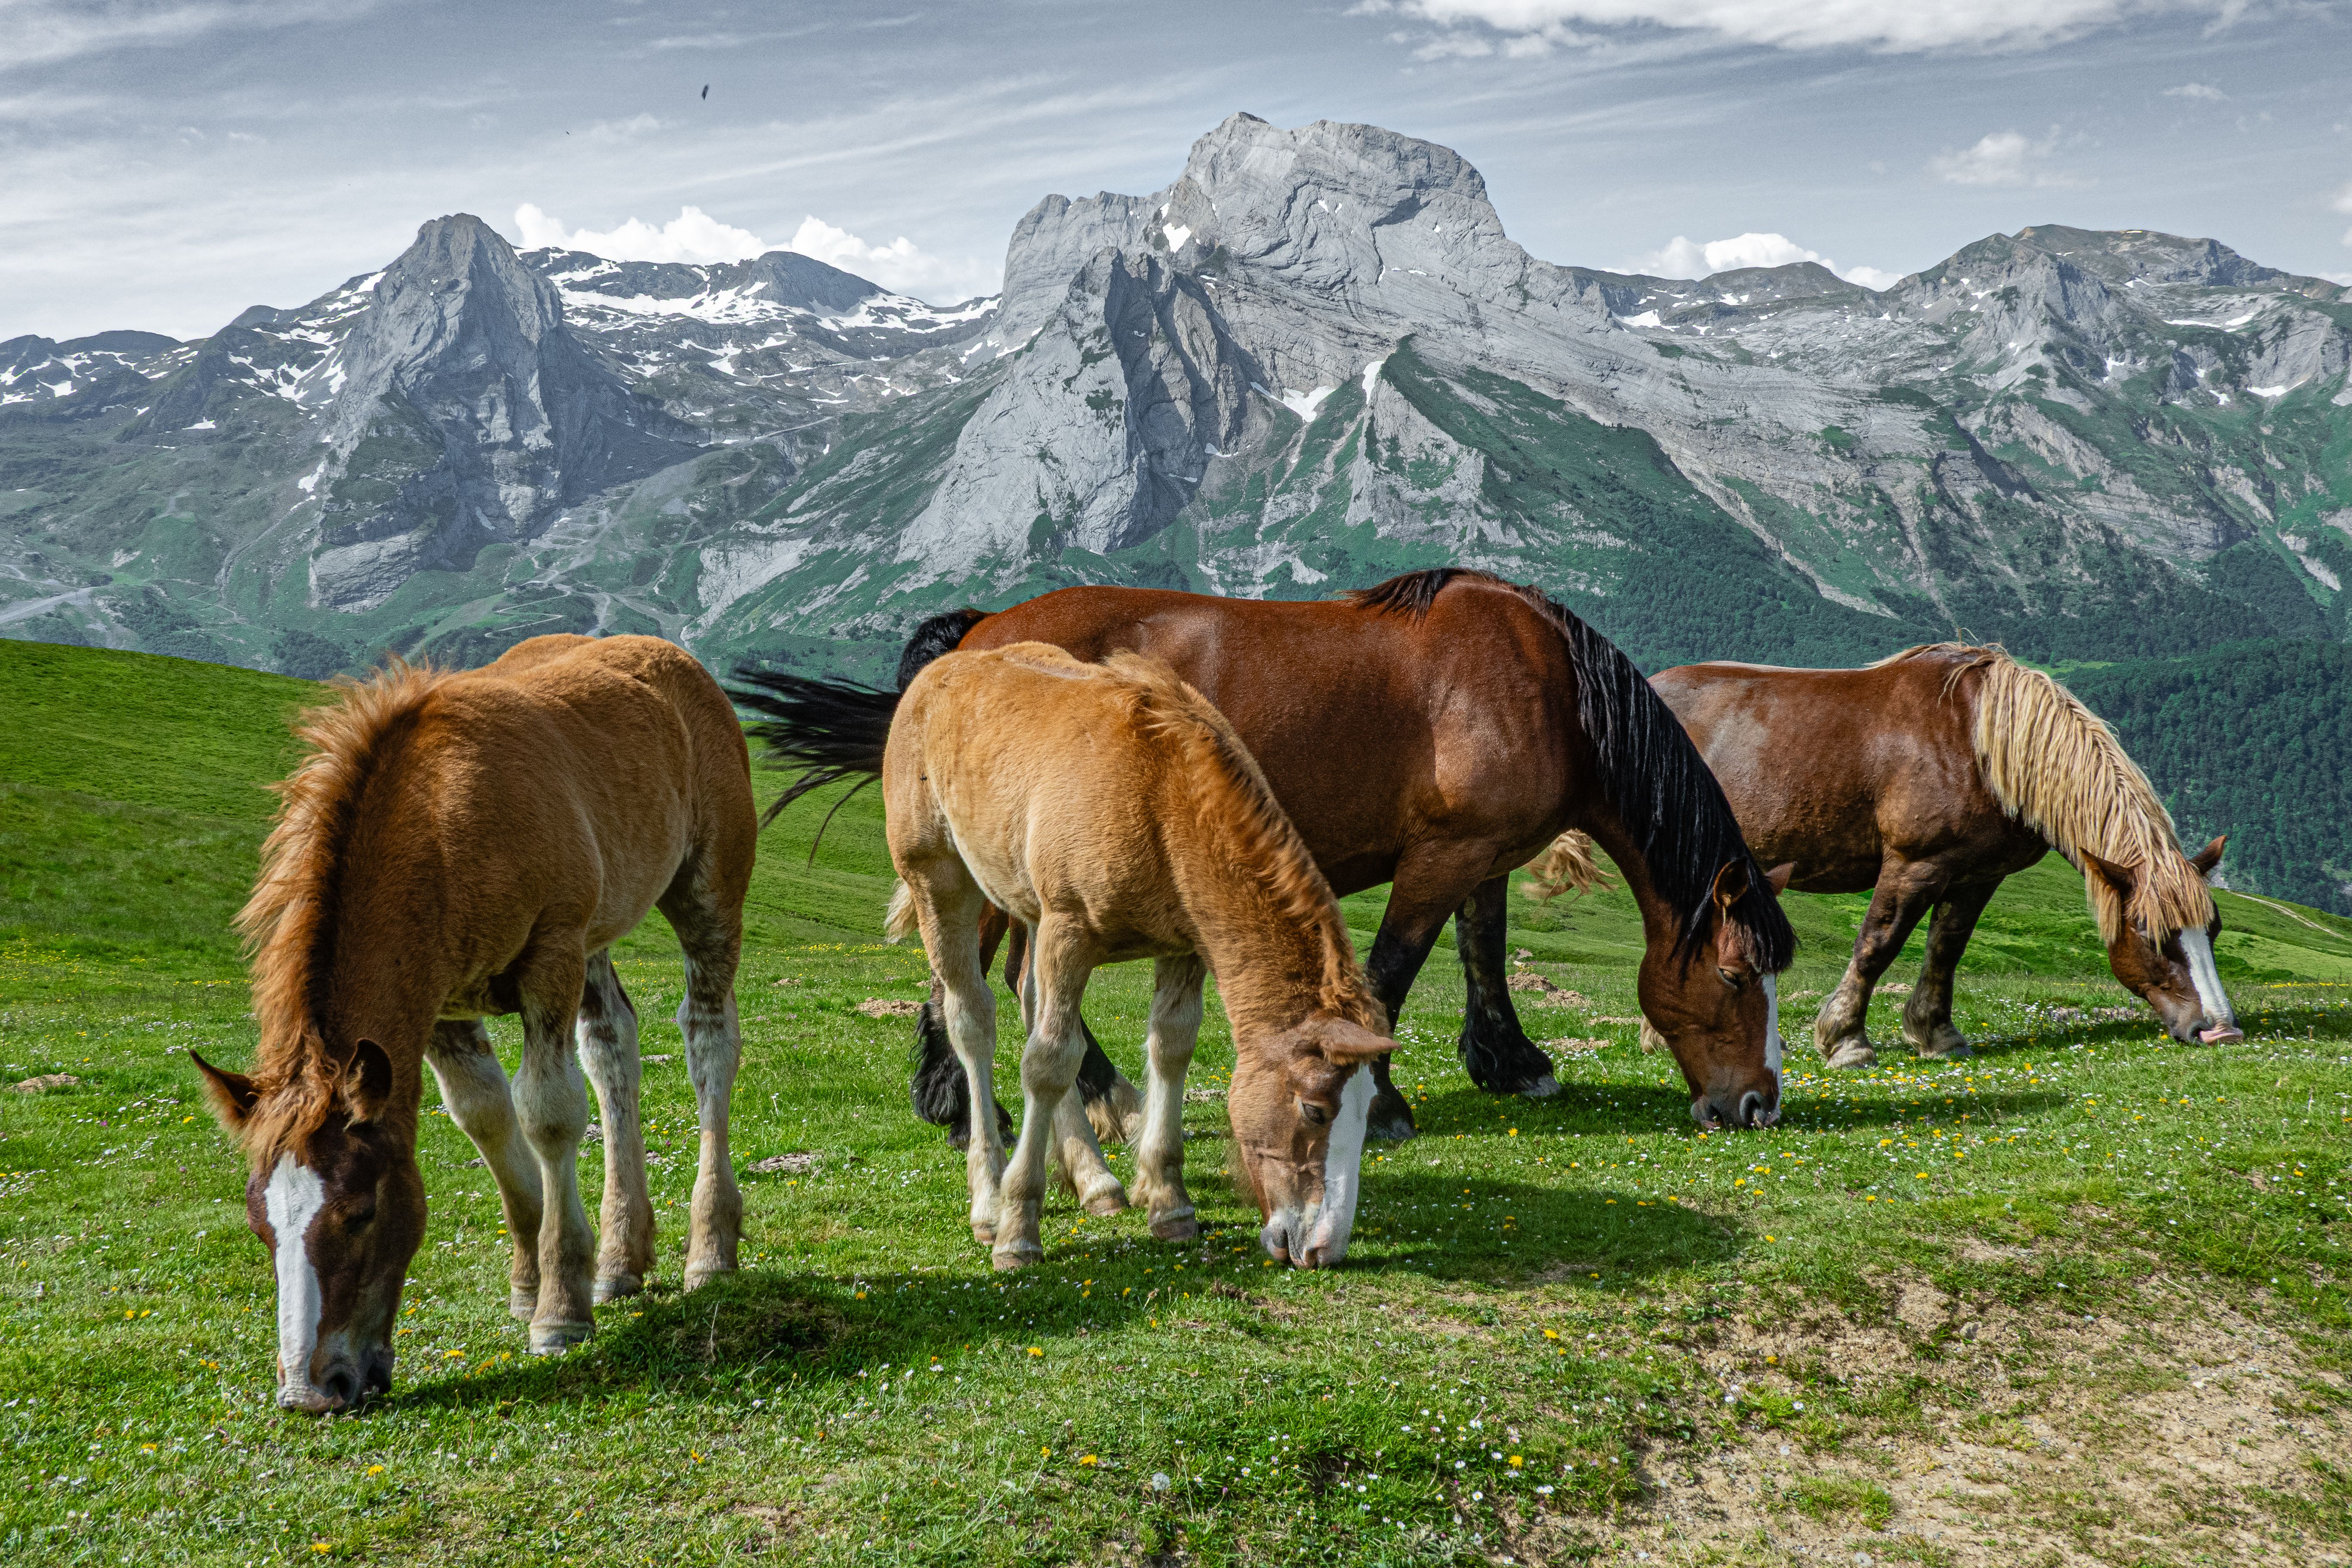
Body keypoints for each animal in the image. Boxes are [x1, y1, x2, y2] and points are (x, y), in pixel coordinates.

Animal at [190, 635, 757, 1411]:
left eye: (362, 1211)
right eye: (259, 1223)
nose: (312, 1389)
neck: (442, 820)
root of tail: (679, 661)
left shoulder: (552, 953)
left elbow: (547, 1114)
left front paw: (559, 1311)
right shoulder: (439, 1007)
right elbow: (484, 1116)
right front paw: (534, 1280)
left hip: (707, 891)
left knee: (707, 1039)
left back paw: (710, 1250)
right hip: (599, 937)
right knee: (613, 1047)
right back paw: (621, 1258)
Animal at [738, 567, 1797, 1139]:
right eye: (1736, 978)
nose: (1757, 1106)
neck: (1550, 685)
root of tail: (980, 633)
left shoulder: (1482, 852)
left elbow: (1482, 953)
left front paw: (1509, 1060)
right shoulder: (1441, 856)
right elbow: (1394, 971)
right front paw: (1386, 1099)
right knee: (982, 973)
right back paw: (1014, 1106)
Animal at [882, 642, 1397, 1269]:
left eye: (1369, 1109)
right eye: (1314, 1110)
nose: (1324, 1249)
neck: (1160, 793)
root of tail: (940, 670)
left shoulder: (1182, 947)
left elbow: (1170, 1048)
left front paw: (1170, 1203)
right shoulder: (1070, 929)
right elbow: (1049, 1063)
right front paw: (1018, 1229)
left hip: (1029, 907)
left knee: (1030, 1000)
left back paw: (1094, 1180)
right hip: (941, 881)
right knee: (973, 1021)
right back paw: (988, 1201)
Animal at [1648, 643, 2238, 1067]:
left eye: (2212, 931)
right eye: (2151, 935)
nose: (2221, 1029)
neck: (1980, 744)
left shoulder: (1977, 876)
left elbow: (1946, 949)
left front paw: (1937, 1034)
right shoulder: (1915, 865)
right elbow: (1877, 946)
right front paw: (1846, 1041)